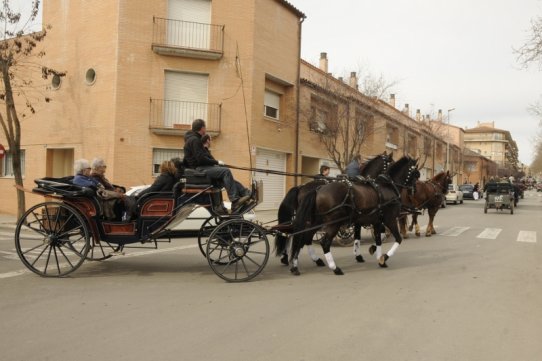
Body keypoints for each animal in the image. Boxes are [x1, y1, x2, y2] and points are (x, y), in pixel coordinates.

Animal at [288, 155, 420, 276]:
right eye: (416, 174)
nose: (414, 191)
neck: (386, 187)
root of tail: (318, 189)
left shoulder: (375, 221)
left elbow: (377, 239)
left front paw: (376, 256)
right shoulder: (389, 219)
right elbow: (397, 239)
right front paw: (382, 258)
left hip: (316, 222)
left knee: (304, 237)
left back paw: (297, 264)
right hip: (333, 224)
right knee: (323, 242)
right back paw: (335, 268)